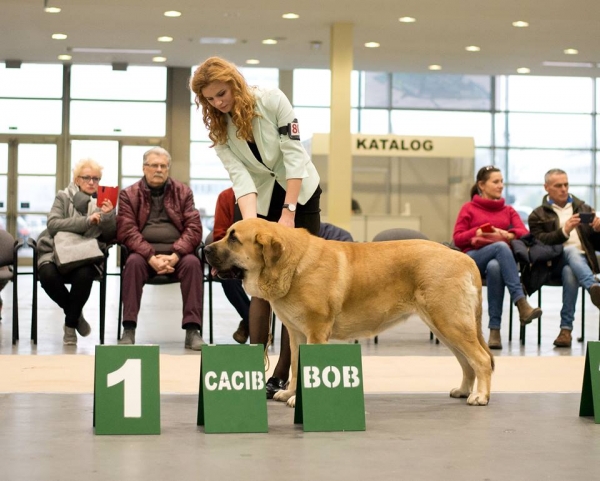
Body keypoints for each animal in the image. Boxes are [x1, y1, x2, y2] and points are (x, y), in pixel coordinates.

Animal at [204, 219, 494, 406]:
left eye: (233, 238)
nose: (204, 249)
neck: (292, 264)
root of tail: (464, 258)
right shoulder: (297, 334)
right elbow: (296, 366)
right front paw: (289, 394)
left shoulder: (316, 332)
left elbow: (306, 369)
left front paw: (299, 399)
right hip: (445, 327)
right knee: (466, 362)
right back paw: (464, 390)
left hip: (450, 323)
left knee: (480, 359)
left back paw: (480, 396)